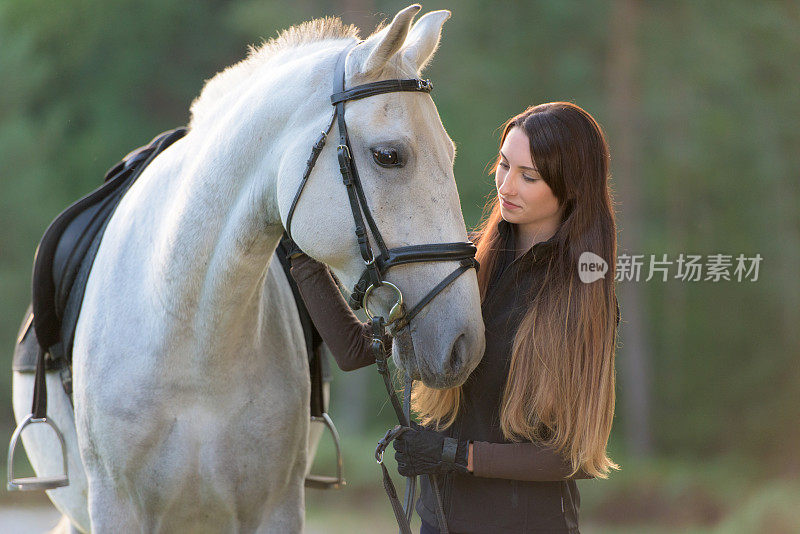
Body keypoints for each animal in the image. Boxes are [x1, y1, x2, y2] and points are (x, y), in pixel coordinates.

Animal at [14, 5, 482, 534]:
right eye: (389, 156)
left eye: (450, 153)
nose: (464, 343)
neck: (192, 338)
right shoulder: (116, 509)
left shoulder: (275, 509)